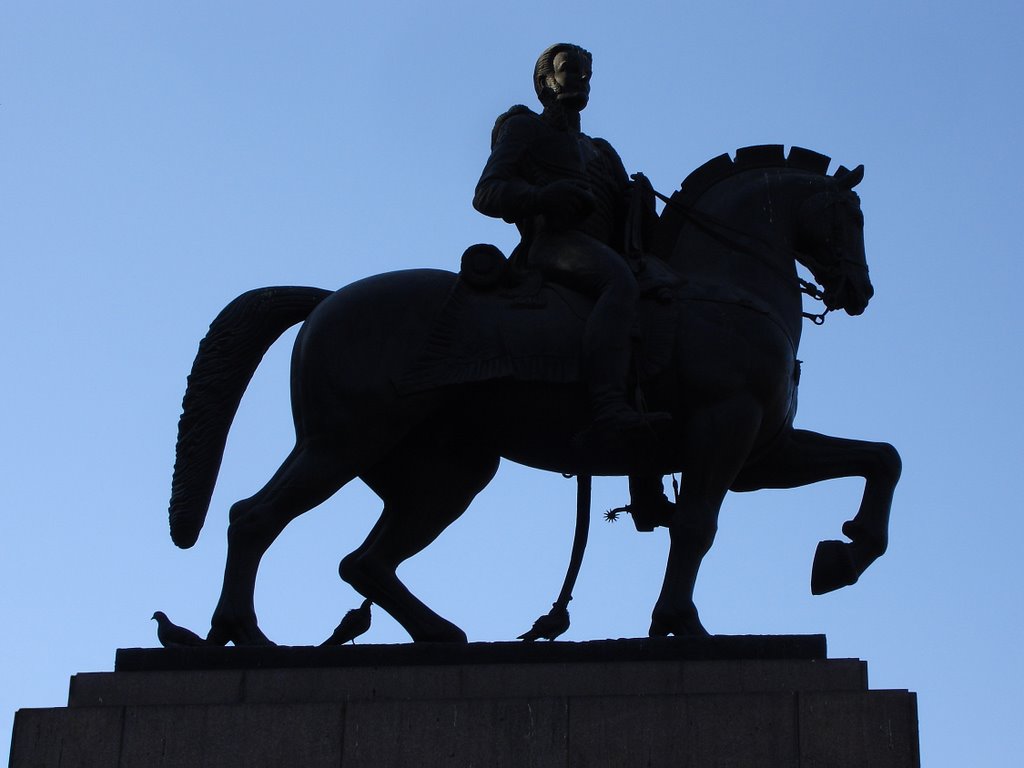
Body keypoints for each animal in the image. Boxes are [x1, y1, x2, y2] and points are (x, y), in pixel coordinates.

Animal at [165, 143, 897, 643]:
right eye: (851, 213)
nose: (859, 290)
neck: (725, 290)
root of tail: (325, 301)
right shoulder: (725, 430)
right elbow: (695, 528)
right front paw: (680, 624)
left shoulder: (760, 452)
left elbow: (880, 459)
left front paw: (844, 555)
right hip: (344, 441)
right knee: (254, 519)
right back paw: (243, 637)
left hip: (445, 473)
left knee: (364, 562)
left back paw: (441, 636)